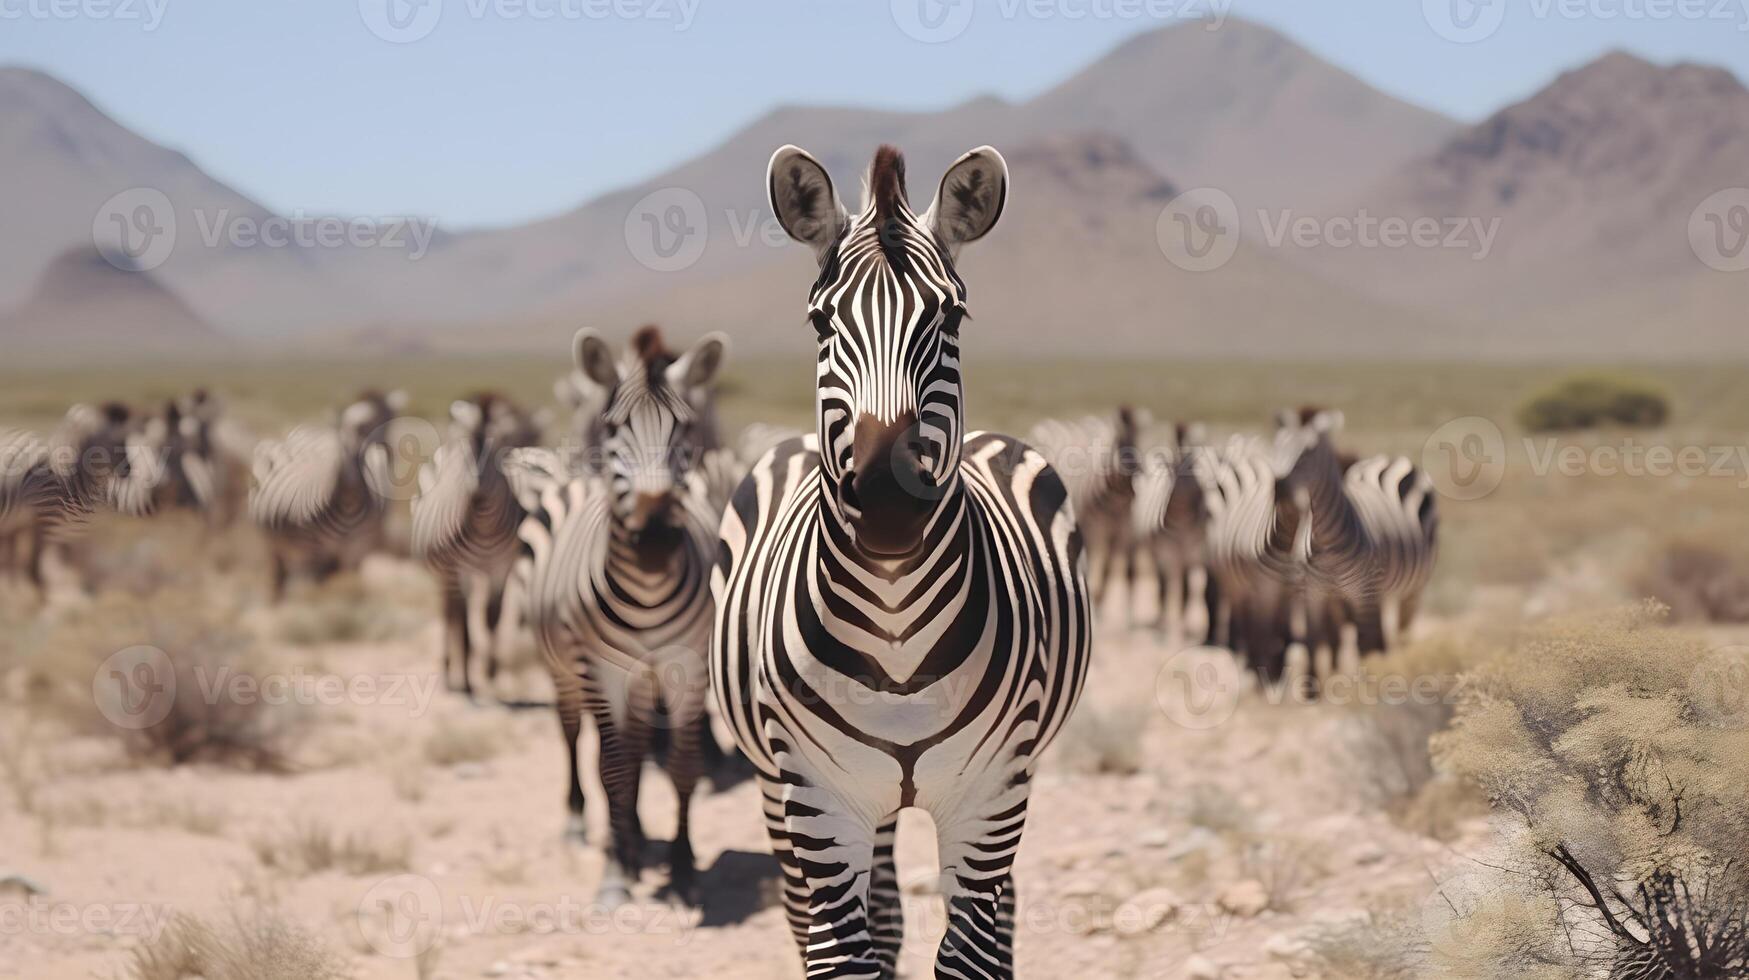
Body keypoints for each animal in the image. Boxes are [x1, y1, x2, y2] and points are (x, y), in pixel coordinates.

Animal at [250, 386, 405, 602]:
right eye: (362, 426)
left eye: (391, 418)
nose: (384, 457)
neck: (348, 504)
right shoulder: (309, 556)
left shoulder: (357, 554)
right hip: (275, 547)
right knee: (277, 576)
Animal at [412, 390, 542, 696]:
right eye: (469, 445)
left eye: (498, 446)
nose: (473, 494)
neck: (484, 528)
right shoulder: (458, 568)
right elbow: (465, 622)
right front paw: (468, 681)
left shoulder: (501, 568)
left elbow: (491, 617)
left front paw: (490, 671)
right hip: (447, 571)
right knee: (450, 613)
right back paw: (451, 672)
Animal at [517, 323, 724, 903]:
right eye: (614, 428)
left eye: (685, 429)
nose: (653, 541)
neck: (648, 591)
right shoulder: (604, 670)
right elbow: (610, 767)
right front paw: (614, 873)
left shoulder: (686, 667)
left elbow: (678, 764)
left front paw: (681, 864)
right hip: (568, 669)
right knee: (575, 737)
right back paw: (586, 826)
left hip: (641, 678)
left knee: (633, 750)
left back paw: (635, 839)